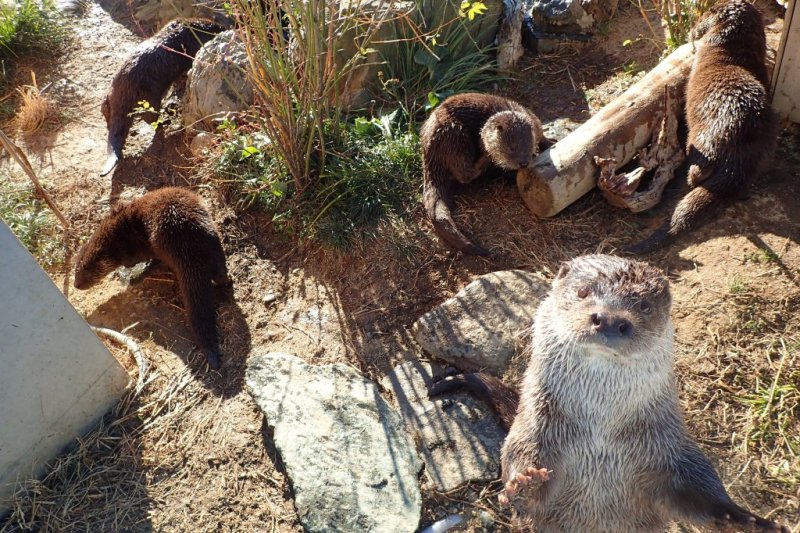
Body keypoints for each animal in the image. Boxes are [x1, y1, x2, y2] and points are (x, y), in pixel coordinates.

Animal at [74, 185, 231, 368]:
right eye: (75, 270)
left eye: (87, 273)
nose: (76, 285)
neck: (115, 237)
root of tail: (188, 247)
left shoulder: (132, 250)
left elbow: (132, 260)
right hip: (212, 240)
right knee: (220, 272)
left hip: (160, 243)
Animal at [101, 19, 225, 176]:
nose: (224, 27)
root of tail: (121, 96)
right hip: (149, 97)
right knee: (149, 117)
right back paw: (165, 121)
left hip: (107, 99)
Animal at [422, 93, 548, 256]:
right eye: (511, 148)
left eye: (530, 145)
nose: (524, 163)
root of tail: (428, 149)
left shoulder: (535, 122)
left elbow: (542, 134)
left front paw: (551, 142)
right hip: (455, 135)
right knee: (464, 173)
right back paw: (485, 159)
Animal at [432, 255, 788, 532]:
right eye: (582, 291)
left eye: (644, 305)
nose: (610, 319)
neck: (599, 436)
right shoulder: (534, 429)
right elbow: (518, 462)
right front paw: (525, 482)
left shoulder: (668, 447)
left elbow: (695, 487)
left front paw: (742, 519)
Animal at [628, 0, 780, 254]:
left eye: (699, 20)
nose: (691, 31)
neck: (732, 53)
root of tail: (739, 149)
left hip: (700, 141)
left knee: (697, 172)